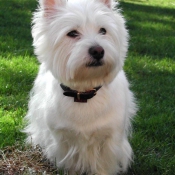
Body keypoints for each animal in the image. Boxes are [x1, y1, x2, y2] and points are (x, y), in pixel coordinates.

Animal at [24, 0, 137, 174]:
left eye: (103, 30)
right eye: (72, 33)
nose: (98, 51)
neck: (84, 92)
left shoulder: (110, 140)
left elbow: (104, 166)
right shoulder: (63, 140)